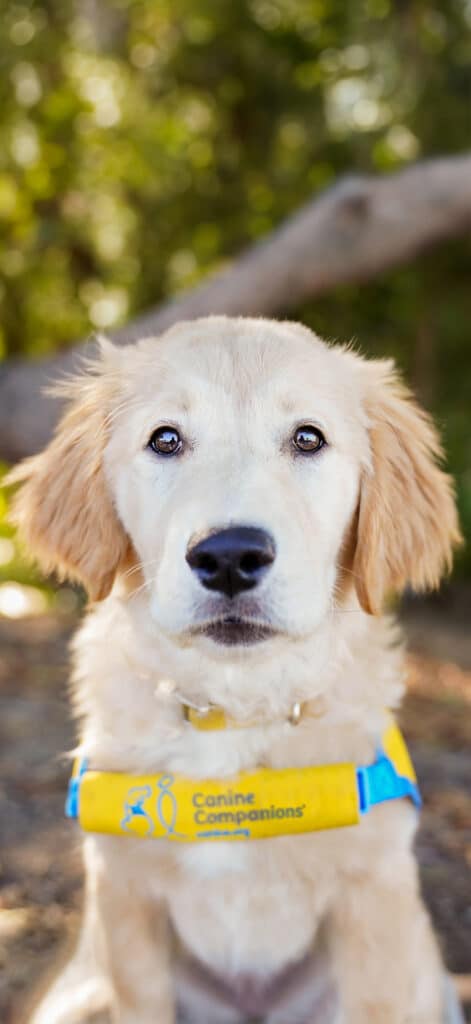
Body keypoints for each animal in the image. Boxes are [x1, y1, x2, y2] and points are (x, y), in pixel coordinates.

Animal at [11, 319, 462, 1024]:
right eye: (165, 439)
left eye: (308, 438)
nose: (228, 556)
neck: (231, 709)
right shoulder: (124, 903)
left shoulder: (375, 902)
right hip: (76, 994)